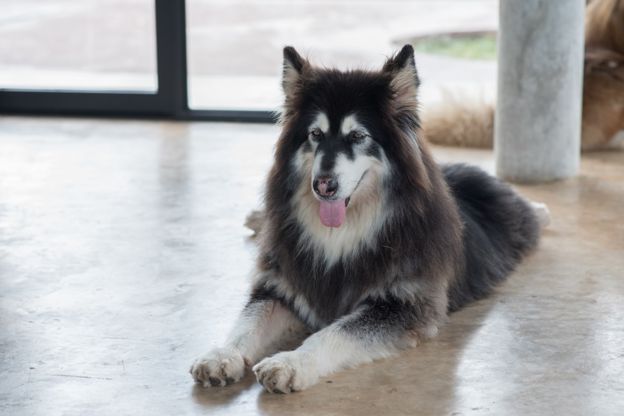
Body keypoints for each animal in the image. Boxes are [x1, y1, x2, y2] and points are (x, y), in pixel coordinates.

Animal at [189, 45, 544, 394]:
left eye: (358, 136)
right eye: (315, 134)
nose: (323, 185)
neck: (345, 231)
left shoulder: (404, 305)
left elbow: (333, 332)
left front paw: (291, 363)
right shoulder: (281, 285)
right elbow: (246, 323)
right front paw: (222, 355)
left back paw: (542, 209)